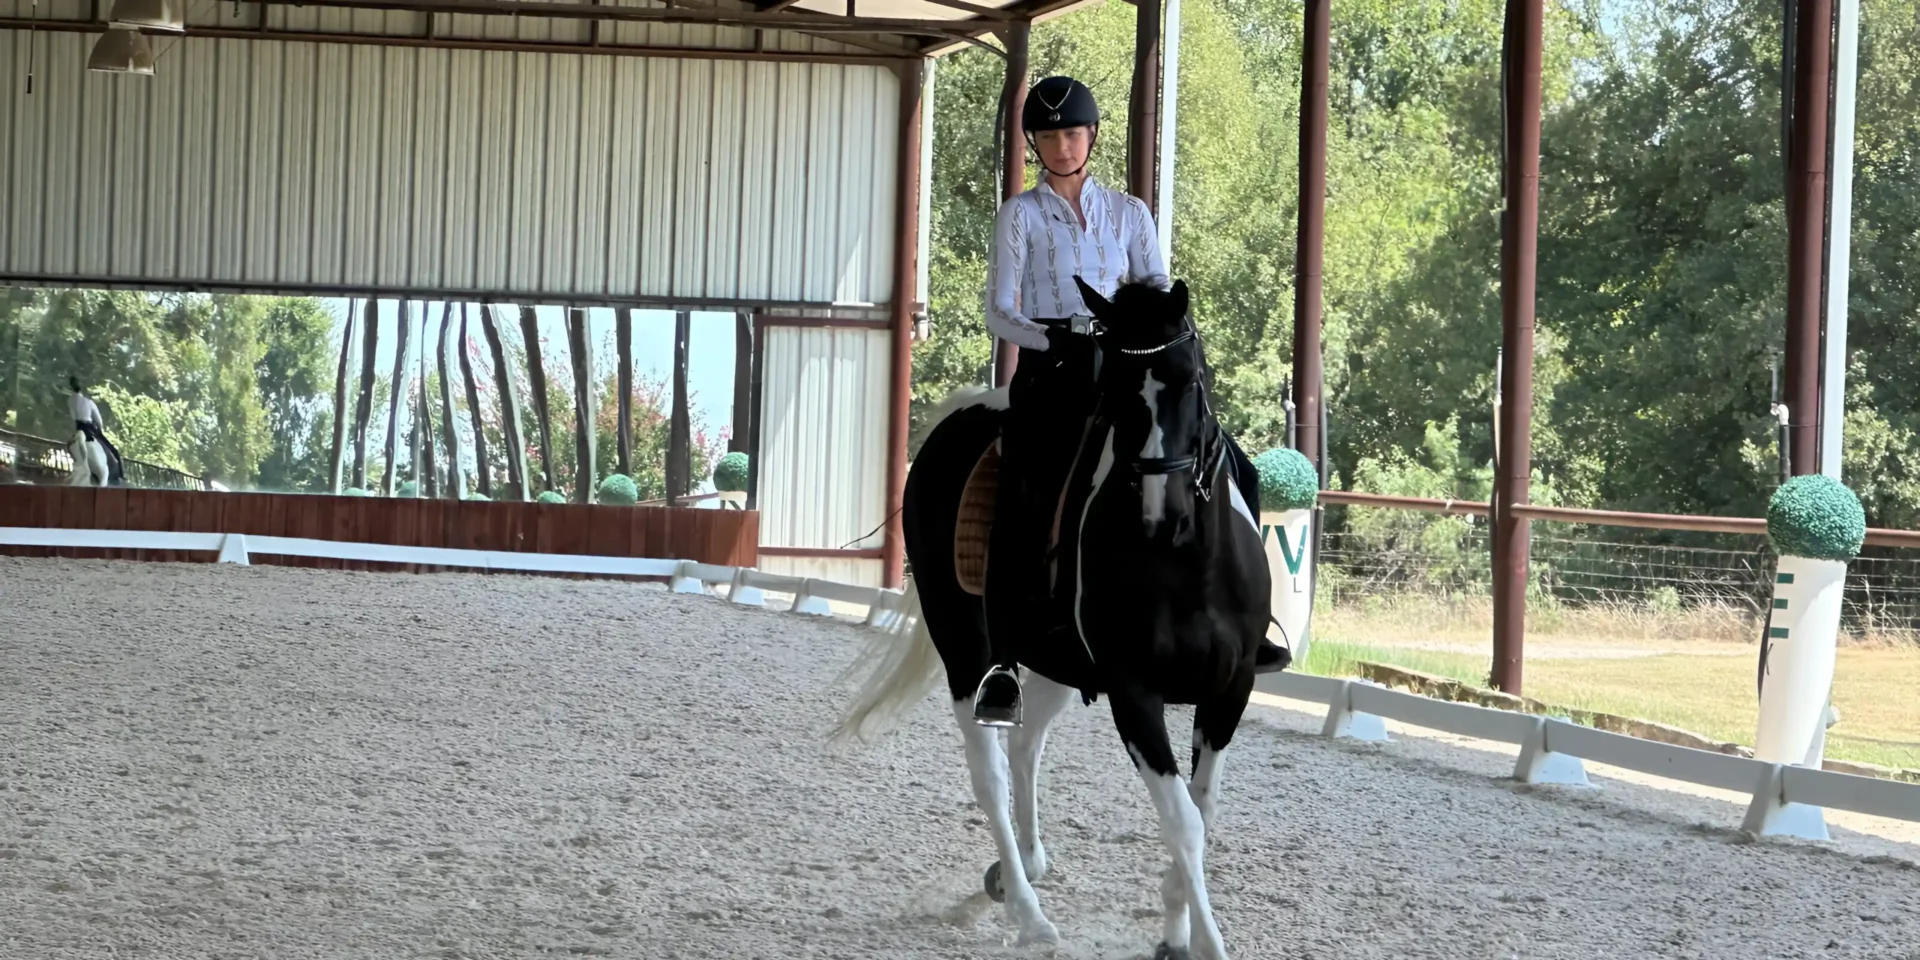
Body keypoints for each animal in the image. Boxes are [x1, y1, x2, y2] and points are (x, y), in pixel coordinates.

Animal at [837, 278, 1274, 960]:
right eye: (1116, 390)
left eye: (1191, 378)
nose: (1164, 515)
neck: (1187, 566)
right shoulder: (1134, 694)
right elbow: (1183, 822)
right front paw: (1205, 942)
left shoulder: (1231, 690)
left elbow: (1200, 813)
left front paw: (1175, 926)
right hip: (964, 646)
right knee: (989, 769)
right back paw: (1028, 911)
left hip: (1053, 665)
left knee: (1026, 746)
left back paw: (1018, 869)